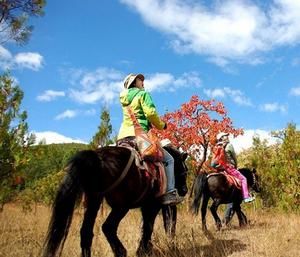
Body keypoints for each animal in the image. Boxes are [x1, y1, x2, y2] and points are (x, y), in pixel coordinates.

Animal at [42, 145, 188, 256]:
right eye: (185, 170)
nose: (184, 190)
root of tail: (98, 157)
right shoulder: (153, 205)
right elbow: (152, 226)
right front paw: (143, 250)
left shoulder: (149, 207)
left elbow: (150, 227)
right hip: (121, 206)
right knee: (108, 227)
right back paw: (121, 251)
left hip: (93, 202)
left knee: (86, 232)